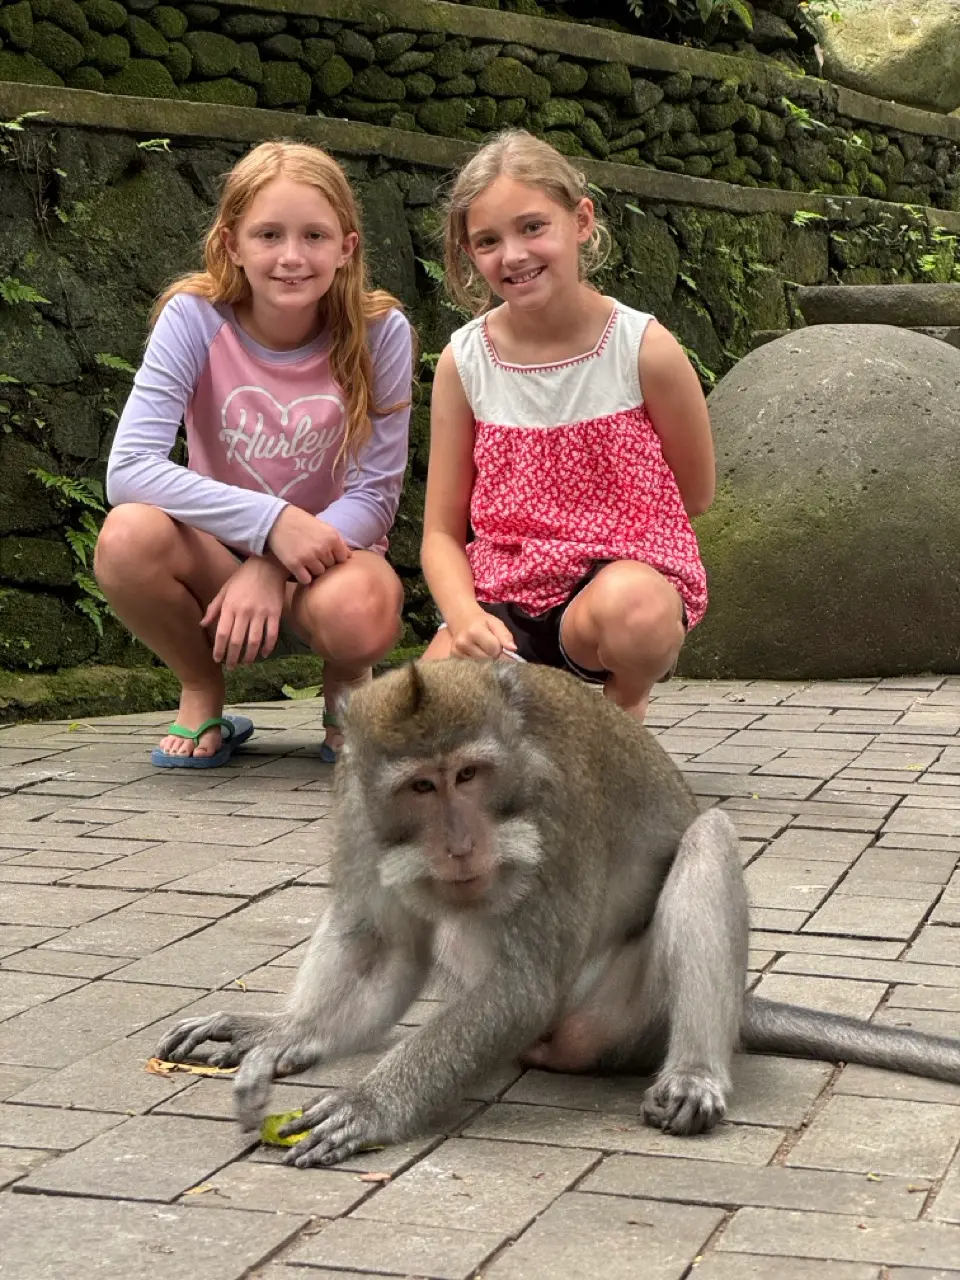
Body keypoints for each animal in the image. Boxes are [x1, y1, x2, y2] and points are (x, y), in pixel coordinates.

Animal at [156, 658, 960, 1169]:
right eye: (421, 787)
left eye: (469, 775)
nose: (459, 843)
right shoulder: (357, 806)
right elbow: (382, 942)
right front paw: (282, 1033)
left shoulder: (560, 806)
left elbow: (523, 985)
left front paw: (371, 1104)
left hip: (622, 1017)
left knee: (708, 837)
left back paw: (696, 1072)